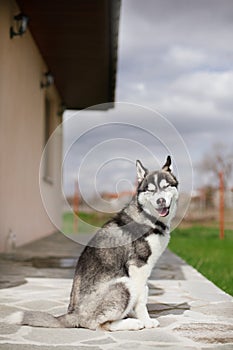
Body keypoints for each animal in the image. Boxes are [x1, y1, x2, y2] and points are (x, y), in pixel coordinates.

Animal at [8, 156, 178, 330]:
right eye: (150, 190)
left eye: (166, 186)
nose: (160, 201)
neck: (148, 216)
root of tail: (74, 314)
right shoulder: (139, 266)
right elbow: (142, 298)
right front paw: (146, 320)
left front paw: (135, 314)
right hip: (124, 284)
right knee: (101, 325)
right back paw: (132, 323)